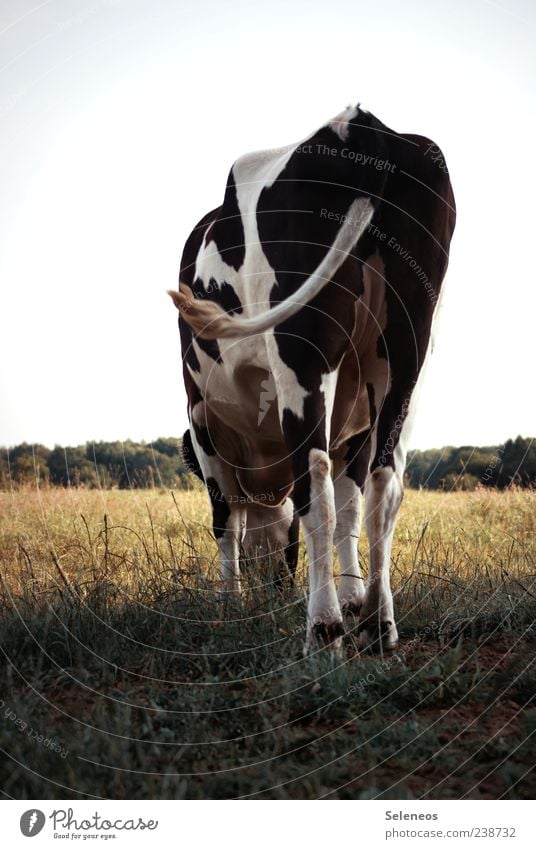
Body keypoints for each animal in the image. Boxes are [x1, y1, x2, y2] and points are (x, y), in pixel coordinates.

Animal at [172, 102, 456, 652]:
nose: (274, 586)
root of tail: (357, 122)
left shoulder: (201, 422)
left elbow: (225, 519)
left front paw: (228, 605)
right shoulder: (355, 430)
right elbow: (351, 507)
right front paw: (354, 596)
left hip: (299, 352)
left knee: (313, 482)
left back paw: (322, 629)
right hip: (406, 350)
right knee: (384, 484)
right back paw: (379, 625)